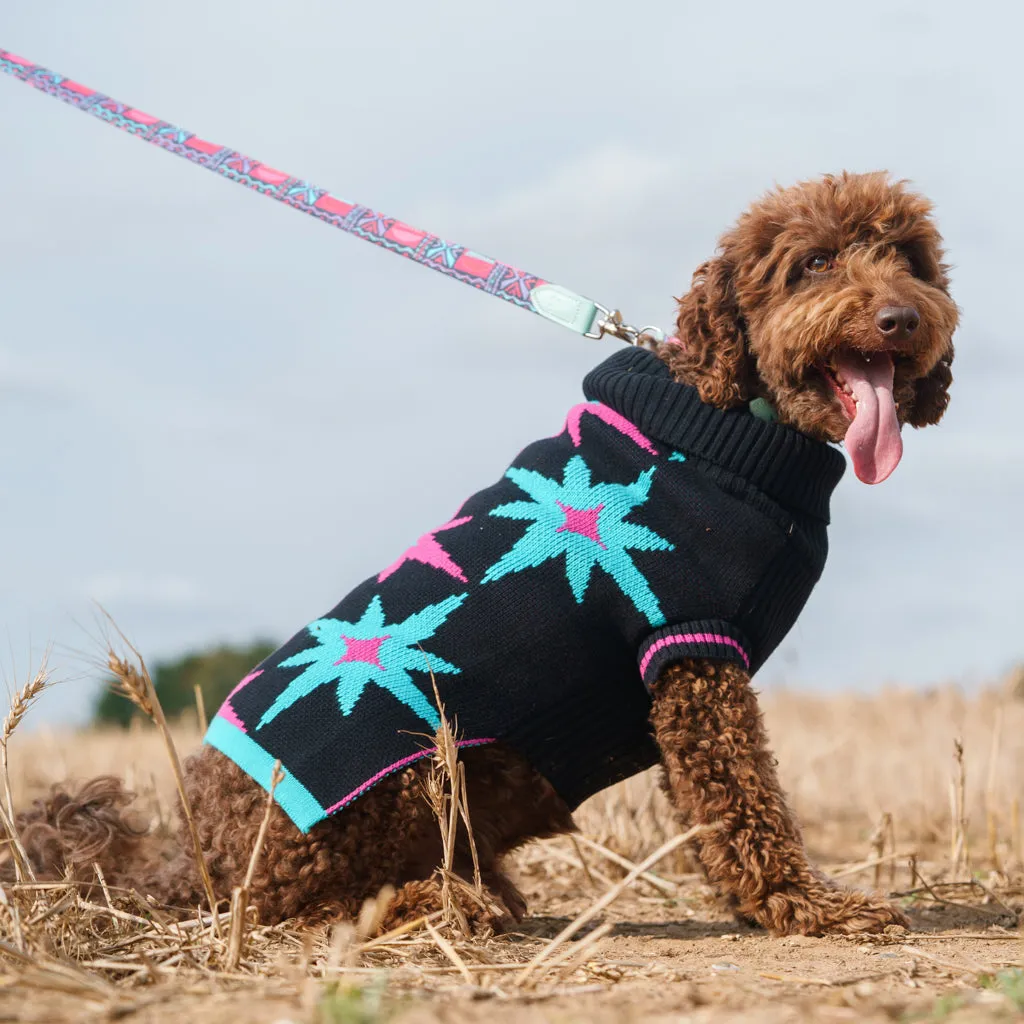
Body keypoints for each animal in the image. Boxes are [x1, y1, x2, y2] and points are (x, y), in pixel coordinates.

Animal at [12, 169, 958, 937]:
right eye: (814, 263)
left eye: (908, 256)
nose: (902, 317)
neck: (734, 422)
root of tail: (194, 857)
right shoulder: (690, 652)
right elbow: (740, 802)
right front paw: (805, 905)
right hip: (409, 764)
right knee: (303, 906)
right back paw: (440, 902)